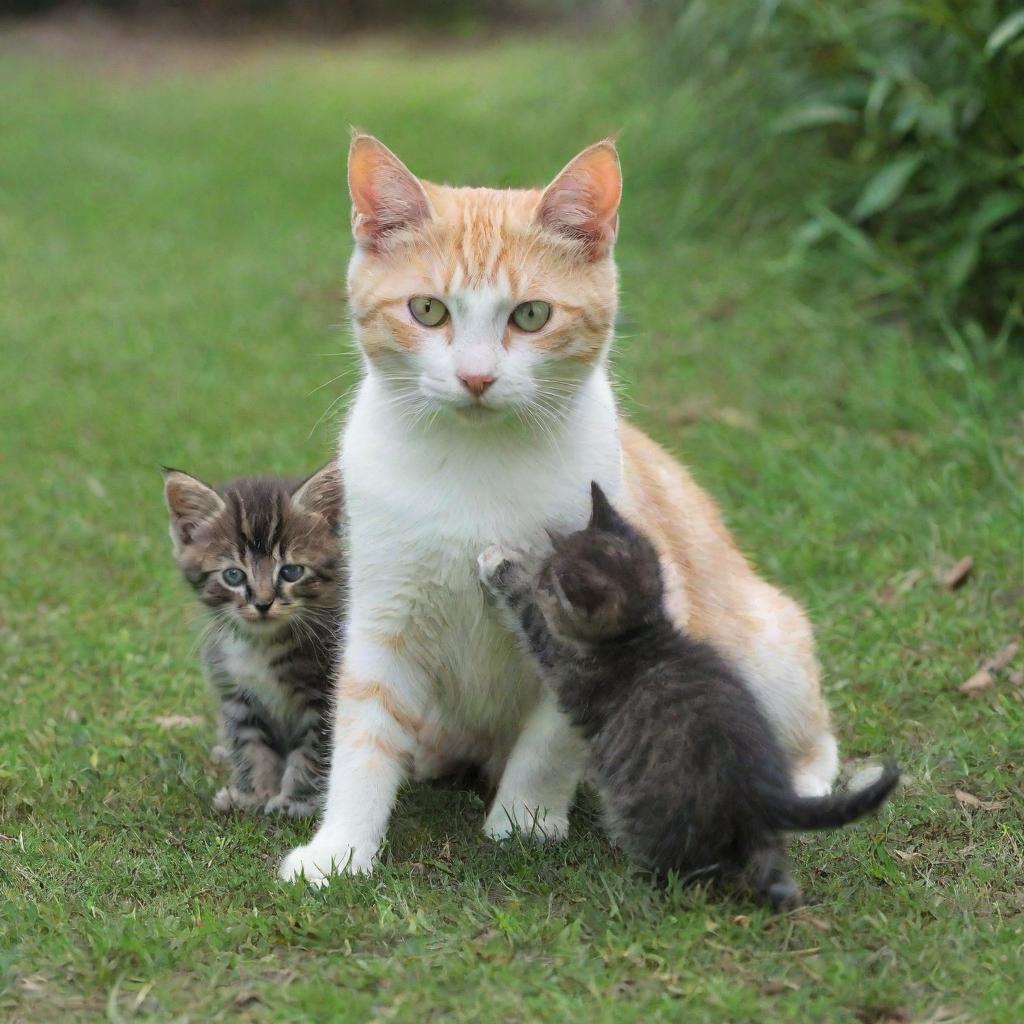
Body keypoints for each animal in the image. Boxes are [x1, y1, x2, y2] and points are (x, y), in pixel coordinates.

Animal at [163, 464, 346, 815]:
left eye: (291, 572)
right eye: (233, 575)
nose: (262, 603)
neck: (261, 643)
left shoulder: (324, 695)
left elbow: (312, 750)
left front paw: (296, 800)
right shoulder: (237, 694)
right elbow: (250, 745)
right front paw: (251, 795)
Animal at [278, 136, 831, 884]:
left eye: (531, 315)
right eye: (428, 311)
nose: (476, 377)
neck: (475, 465)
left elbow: (550, 737)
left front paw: (525, 819)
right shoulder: (382, 619)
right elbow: (362, 734)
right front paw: (339, 848)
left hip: (767, 647)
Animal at [475, 483, 901, 909]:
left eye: (546, 585)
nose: (539, 578)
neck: (641, 636)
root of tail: (760, 793)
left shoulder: (566, 662)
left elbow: (530, 620)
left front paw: (501, 567)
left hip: (661, 810)